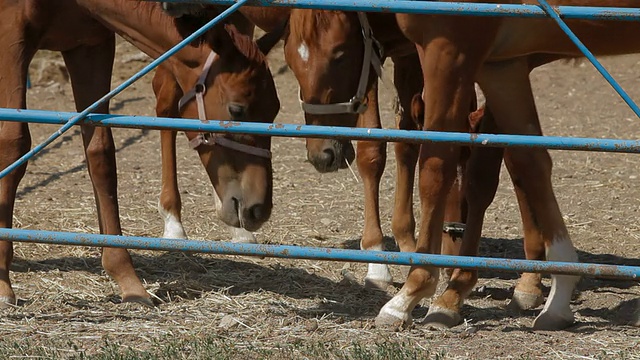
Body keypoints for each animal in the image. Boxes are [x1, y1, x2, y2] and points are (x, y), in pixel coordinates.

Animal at [0, 0, 280, 306]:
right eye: (237, 110)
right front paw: (3, 281)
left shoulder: (90, 45)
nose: (258, 209)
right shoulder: (12, 37)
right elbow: (14, 142)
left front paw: (127, 279)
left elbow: (100, 153)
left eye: (275, 111)